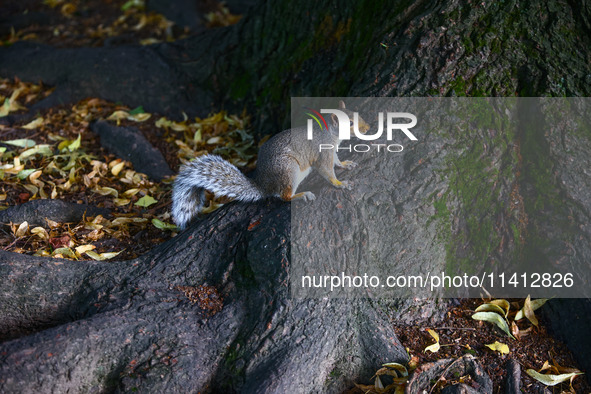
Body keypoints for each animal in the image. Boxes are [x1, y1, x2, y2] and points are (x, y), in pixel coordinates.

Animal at [169, 101, 370, 229]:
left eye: (357, 114)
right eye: (350, 123)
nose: (367, 128)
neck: (331, 134)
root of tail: (263, 185)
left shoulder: (331, 152)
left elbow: (336, 161)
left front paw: (345, 164)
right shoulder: (322, 154)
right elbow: (327, 171)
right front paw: (340, 184)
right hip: (289, 169)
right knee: (284, 196)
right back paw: (302, 195)